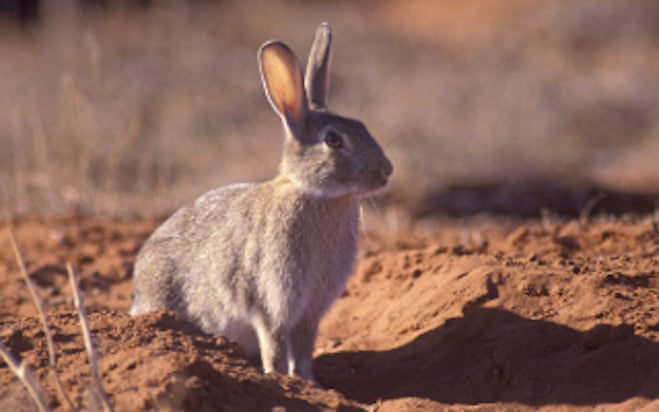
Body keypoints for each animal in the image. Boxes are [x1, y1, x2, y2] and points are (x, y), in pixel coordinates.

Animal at [130, 22, 393, 385]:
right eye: (333, 140)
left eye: (362, 126)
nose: (386, 172)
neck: (314, 195)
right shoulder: (271, 302)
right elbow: (276, 345)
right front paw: (281, 378)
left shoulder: (310, 311)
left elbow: (304, 349)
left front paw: (309, 383)